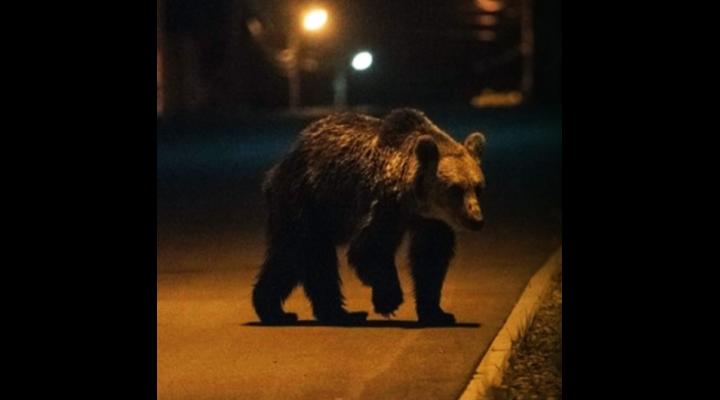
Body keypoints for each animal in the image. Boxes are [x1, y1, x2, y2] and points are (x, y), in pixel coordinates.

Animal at [250, 108, 486, 324]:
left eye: (478, 187)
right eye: (455, 189)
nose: (476, 220)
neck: (415, 200)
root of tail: (283, 162)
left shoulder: (431, 220)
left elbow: (431, 256)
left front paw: (438, 313)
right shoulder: (385, 203)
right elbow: (370, 248)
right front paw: (389, 300)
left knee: (298, 257)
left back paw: (297, 311)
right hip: (305, 199)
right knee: (304, 252)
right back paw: (311, 312)